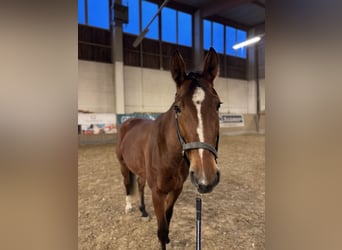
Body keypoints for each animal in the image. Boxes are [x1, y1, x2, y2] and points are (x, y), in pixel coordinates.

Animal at [116, 47, 220, 249]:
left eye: (218, 105)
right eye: (178, 108)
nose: (206, 178)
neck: (168, 152)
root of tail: (129, 122)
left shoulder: (176, 189)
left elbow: (168, 217)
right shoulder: (157, 192)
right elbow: (162, 230)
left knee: (139, 184)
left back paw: (143, 211)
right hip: (123, 166)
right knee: (127, 183)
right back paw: (128, 206)